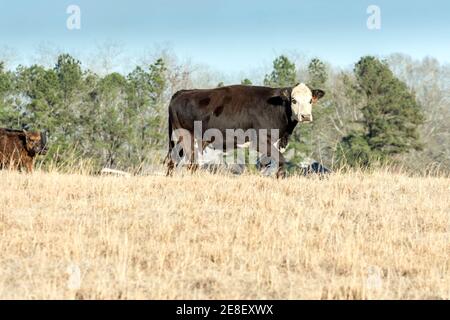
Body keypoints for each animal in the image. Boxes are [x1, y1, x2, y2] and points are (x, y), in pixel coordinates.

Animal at [164, 82, 324, 178]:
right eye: (294, 100)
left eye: (310, 100)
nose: (305, 116)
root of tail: (182, 92)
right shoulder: (260, 141)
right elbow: (280, 160)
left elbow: (267, 163)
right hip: (185, 136)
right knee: (189, 163)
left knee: (174, 160)